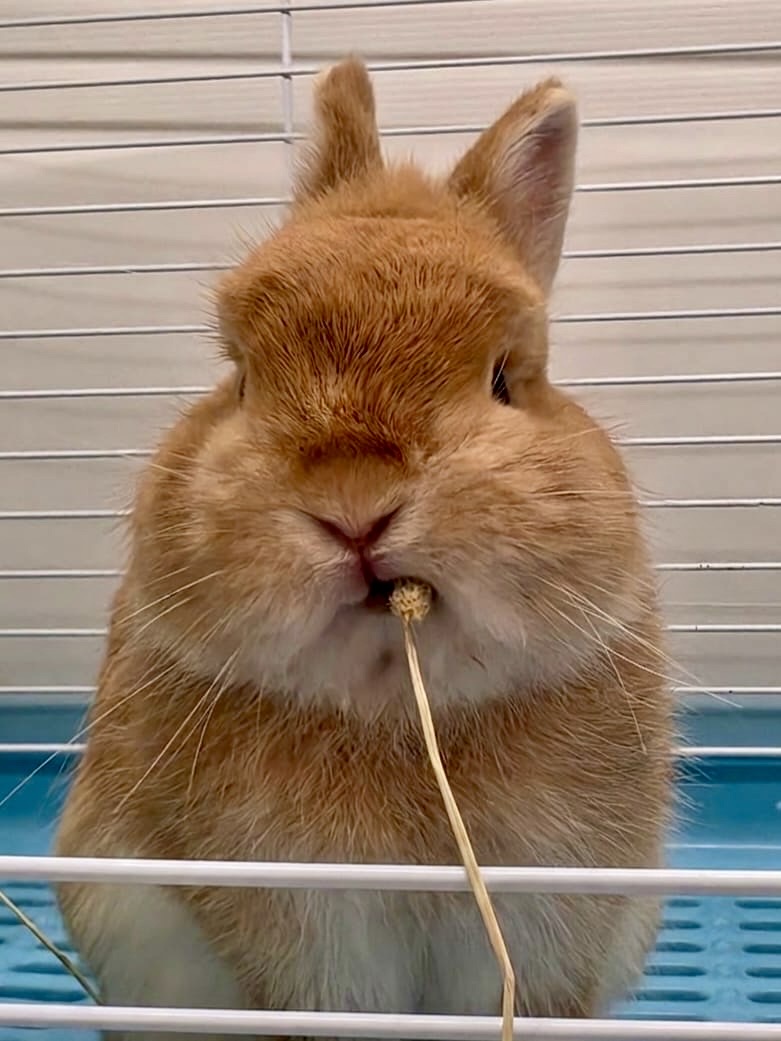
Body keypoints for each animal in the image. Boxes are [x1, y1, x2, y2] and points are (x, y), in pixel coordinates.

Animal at [56, 57, 674, 1041]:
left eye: (504, 379)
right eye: (240, 377)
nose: (353, 504)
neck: (395, 713)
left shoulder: (546, 915)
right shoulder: (309, 933)